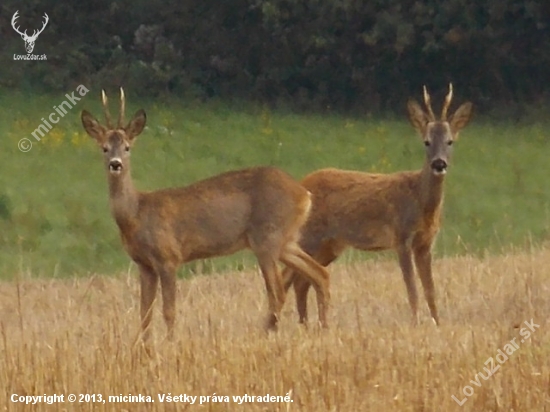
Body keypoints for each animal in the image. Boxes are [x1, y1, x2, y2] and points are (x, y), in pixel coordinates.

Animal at [81, 88, 332, 340]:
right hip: (285, 241)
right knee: (320, 274)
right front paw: (143, 346)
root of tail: (304, 194)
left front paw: (171, 343)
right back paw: (323, 328)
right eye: (104, 148)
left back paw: (264, 334)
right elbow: (144, 313)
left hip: (267, 238)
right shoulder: (144, 264)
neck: (136, 214)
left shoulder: (168, 257)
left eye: (127, 147)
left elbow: (169, 310)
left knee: (278, 291)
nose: (115, 164)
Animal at [282, 84, 472, 326]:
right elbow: (412, 290)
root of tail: (301, 185)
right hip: (309, 237)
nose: (439, 164)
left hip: (330, 245)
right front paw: (415, 323)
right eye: (426, 142)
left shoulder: (426, 243)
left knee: (303, 280)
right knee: (288, 277)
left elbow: (431, 291)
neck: (421, 203)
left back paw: (306, 325)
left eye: (450, 141)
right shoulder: (401, 237)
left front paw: (437, 324)